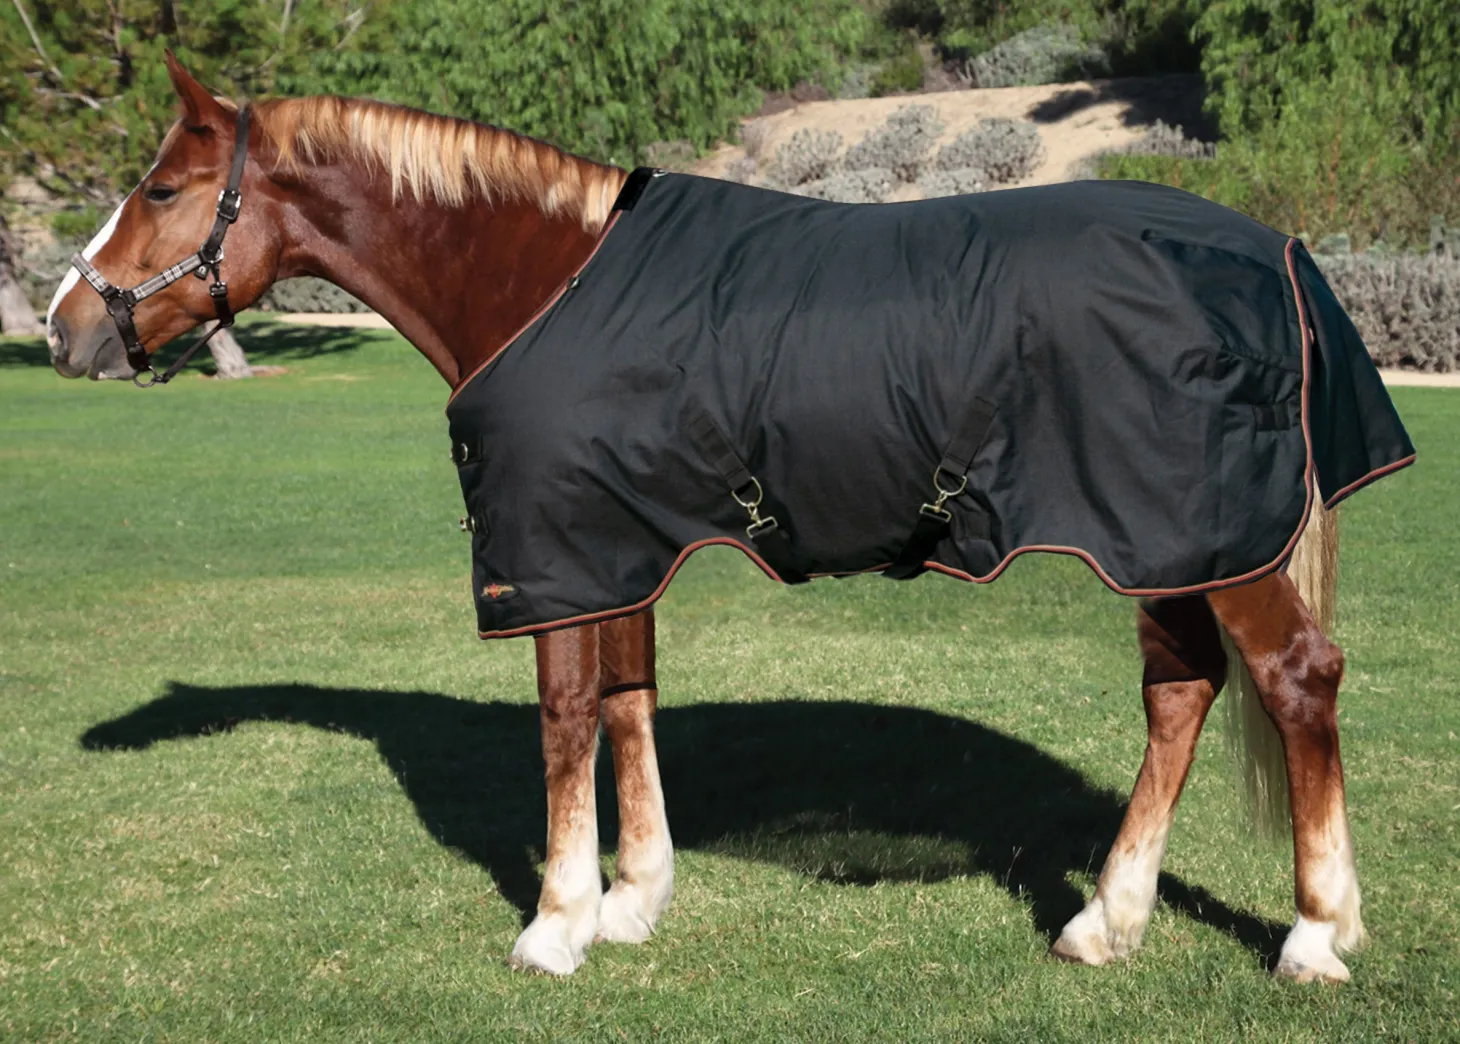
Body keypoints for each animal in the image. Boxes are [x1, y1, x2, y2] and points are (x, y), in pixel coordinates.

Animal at [46, 55, 1414, 983]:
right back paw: (1104, 921)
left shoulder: (556, 549)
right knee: (1181, 694)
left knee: (1294, 677)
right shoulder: (617, 544)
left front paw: (555, 926)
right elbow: (627, 702)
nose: (64, 330)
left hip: (1205, 541)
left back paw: (1311, 935)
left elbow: (563, 718)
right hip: (1161, 543)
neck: (543, 280)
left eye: (162, 190)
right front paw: (632, 901)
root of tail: (1278, 251)